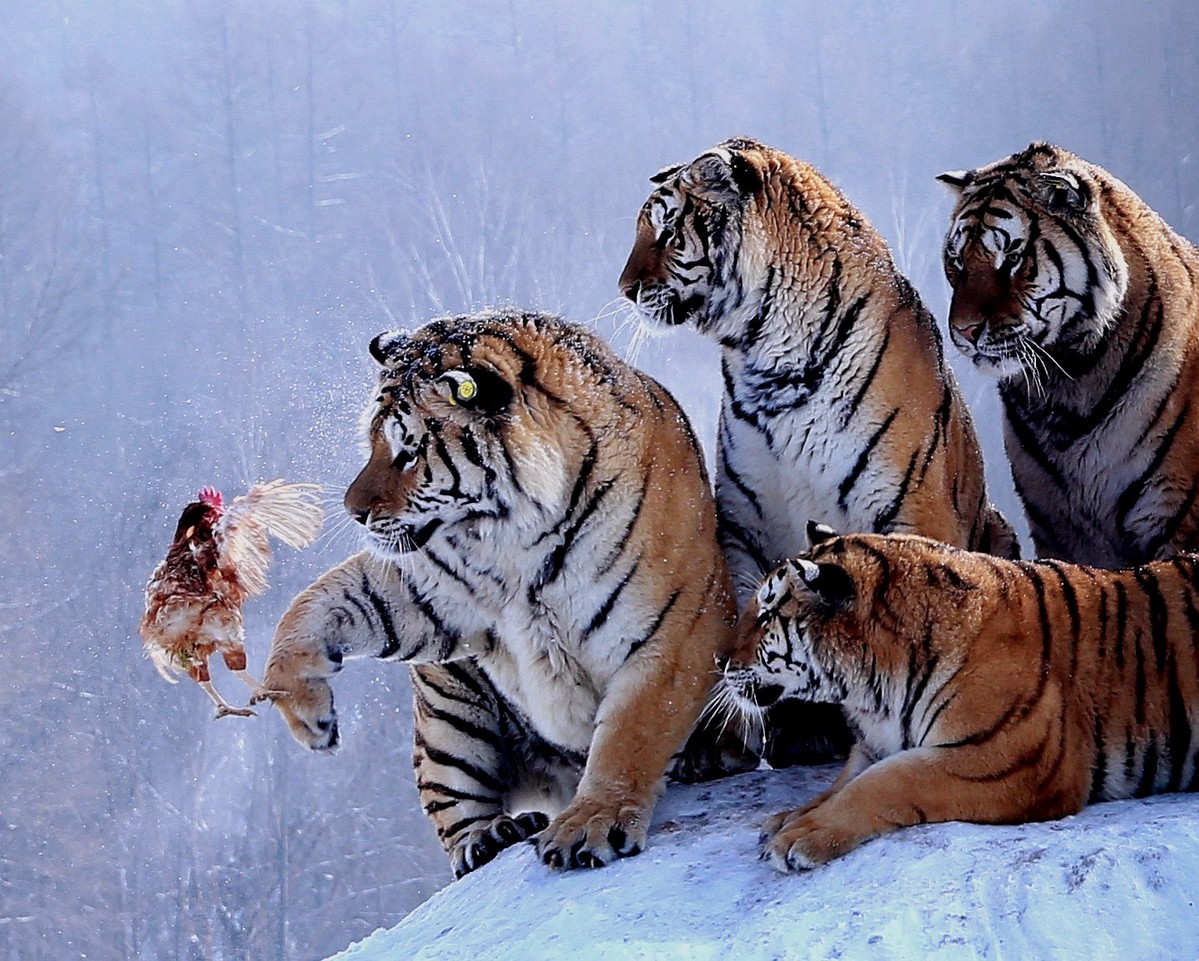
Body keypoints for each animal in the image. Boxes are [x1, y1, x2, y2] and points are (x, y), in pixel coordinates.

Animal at [257, 308, 740, 877]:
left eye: (407, 451)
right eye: (372, 441)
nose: (354, 512)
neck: (517, 540)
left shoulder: (674, 630)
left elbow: (630, 736)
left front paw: (591, 822)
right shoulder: (430, 588)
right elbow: (324, 600)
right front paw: (309, 716)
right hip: (448, 714)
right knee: (454, 805)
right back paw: (489, 835)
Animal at [618, 136, 1018, 766]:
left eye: (667, 230)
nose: (625, 288)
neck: (768, 359)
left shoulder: (913, 506)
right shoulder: (743, 524)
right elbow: (753, 613)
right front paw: (743, 734)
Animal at [720, 522, 1199, 873]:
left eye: (765, 615)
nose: (719, 658)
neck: (873, 693)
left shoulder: (1008, 761)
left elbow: (885, 782)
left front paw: (799, 836)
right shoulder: (877, 744)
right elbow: (843, 782)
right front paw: (788, 817)